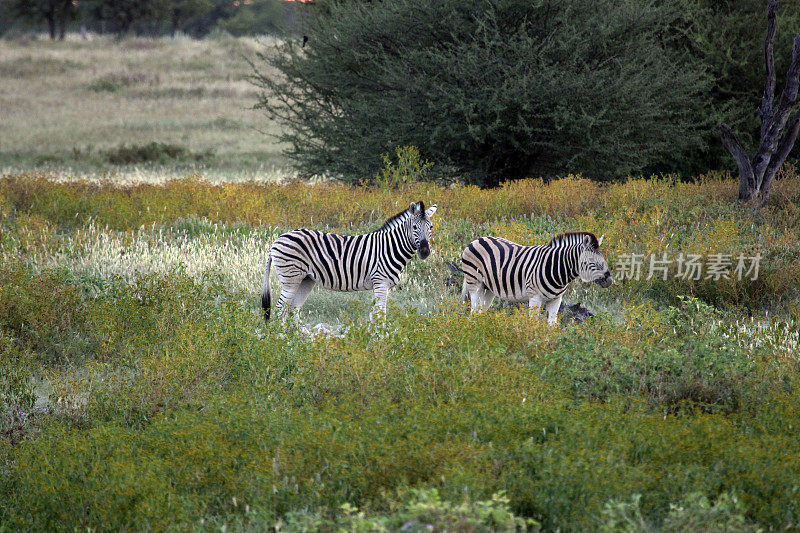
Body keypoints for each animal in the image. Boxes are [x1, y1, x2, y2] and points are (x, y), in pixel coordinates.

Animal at [260, 201, 438, 322]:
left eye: (431, 227)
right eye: (414, 227)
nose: (425, 252)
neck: (389, 247)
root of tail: (277, 240)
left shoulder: (379, 286)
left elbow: (374, 316)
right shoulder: (381, 283)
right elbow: (380, 316)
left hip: (306, 280)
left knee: (293, 310)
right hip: (291, 279)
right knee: (280, 310)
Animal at [456, 232, 612, 324]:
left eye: (603, 259)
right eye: (590, 261)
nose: (609, 281)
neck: (557, 269)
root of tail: (477, 239)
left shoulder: (556, 300)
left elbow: (551, 325)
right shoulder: (535, 298)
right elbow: (533, 323)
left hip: (488, 289)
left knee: (481, 311)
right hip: (475, 283)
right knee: (474, 310)